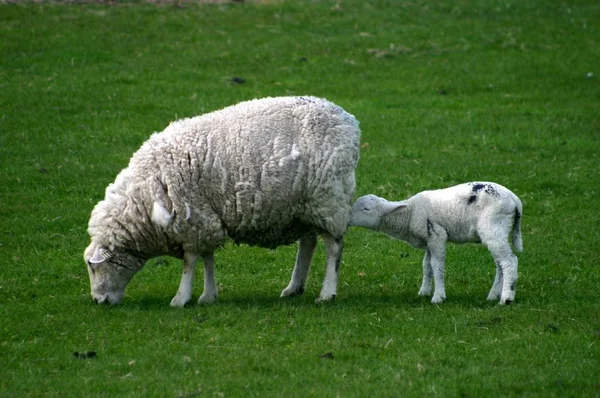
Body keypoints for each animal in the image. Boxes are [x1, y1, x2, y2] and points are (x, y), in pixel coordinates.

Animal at [82, 95, 358, 304]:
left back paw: (327, 293)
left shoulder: (191, 217)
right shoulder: (205, 218)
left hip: (328, 199)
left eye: (92, 266)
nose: (98, 301)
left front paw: (181, 298)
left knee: (334, 246)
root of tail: (349, 123)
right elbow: (207, 257)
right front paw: (208, 296)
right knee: (308, 242)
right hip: (303, 205)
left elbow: (190, 261)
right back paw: (294, 287)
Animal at [350, 182, 524, 304]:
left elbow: (437, 265)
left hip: (494, 227)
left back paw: (506, 298)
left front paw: (438, 296)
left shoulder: (437, 235)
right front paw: (424, 292)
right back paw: (493, 295)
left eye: (366, 209)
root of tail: (514, 199)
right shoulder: (428, 240)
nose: (347, 218)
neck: (409, 213)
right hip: (495, 233)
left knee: (509, 261)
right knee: (500, 264)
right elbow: (426, 265)